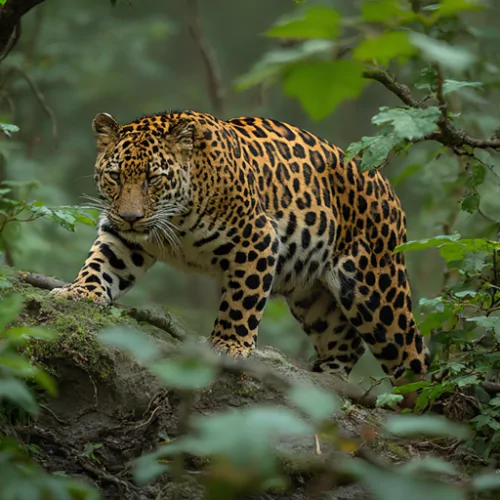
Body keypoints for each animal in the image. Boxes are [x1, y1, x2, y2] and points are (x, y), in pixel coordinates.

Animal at [52, 109, 432, 388]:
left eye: (153, 178)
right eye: (115, 176)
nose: (131, 216)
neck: (177, 216)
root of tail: (379, 177)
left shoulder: (257, 239)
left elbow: (241, 302)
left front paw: (228, 345)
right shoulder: (124, 236)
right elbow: (102, 262)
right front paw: (80, 291)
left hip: (375, 291)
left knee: (414, 355)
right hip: (314, 297)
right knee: (347, 343)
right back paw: (326, 380)